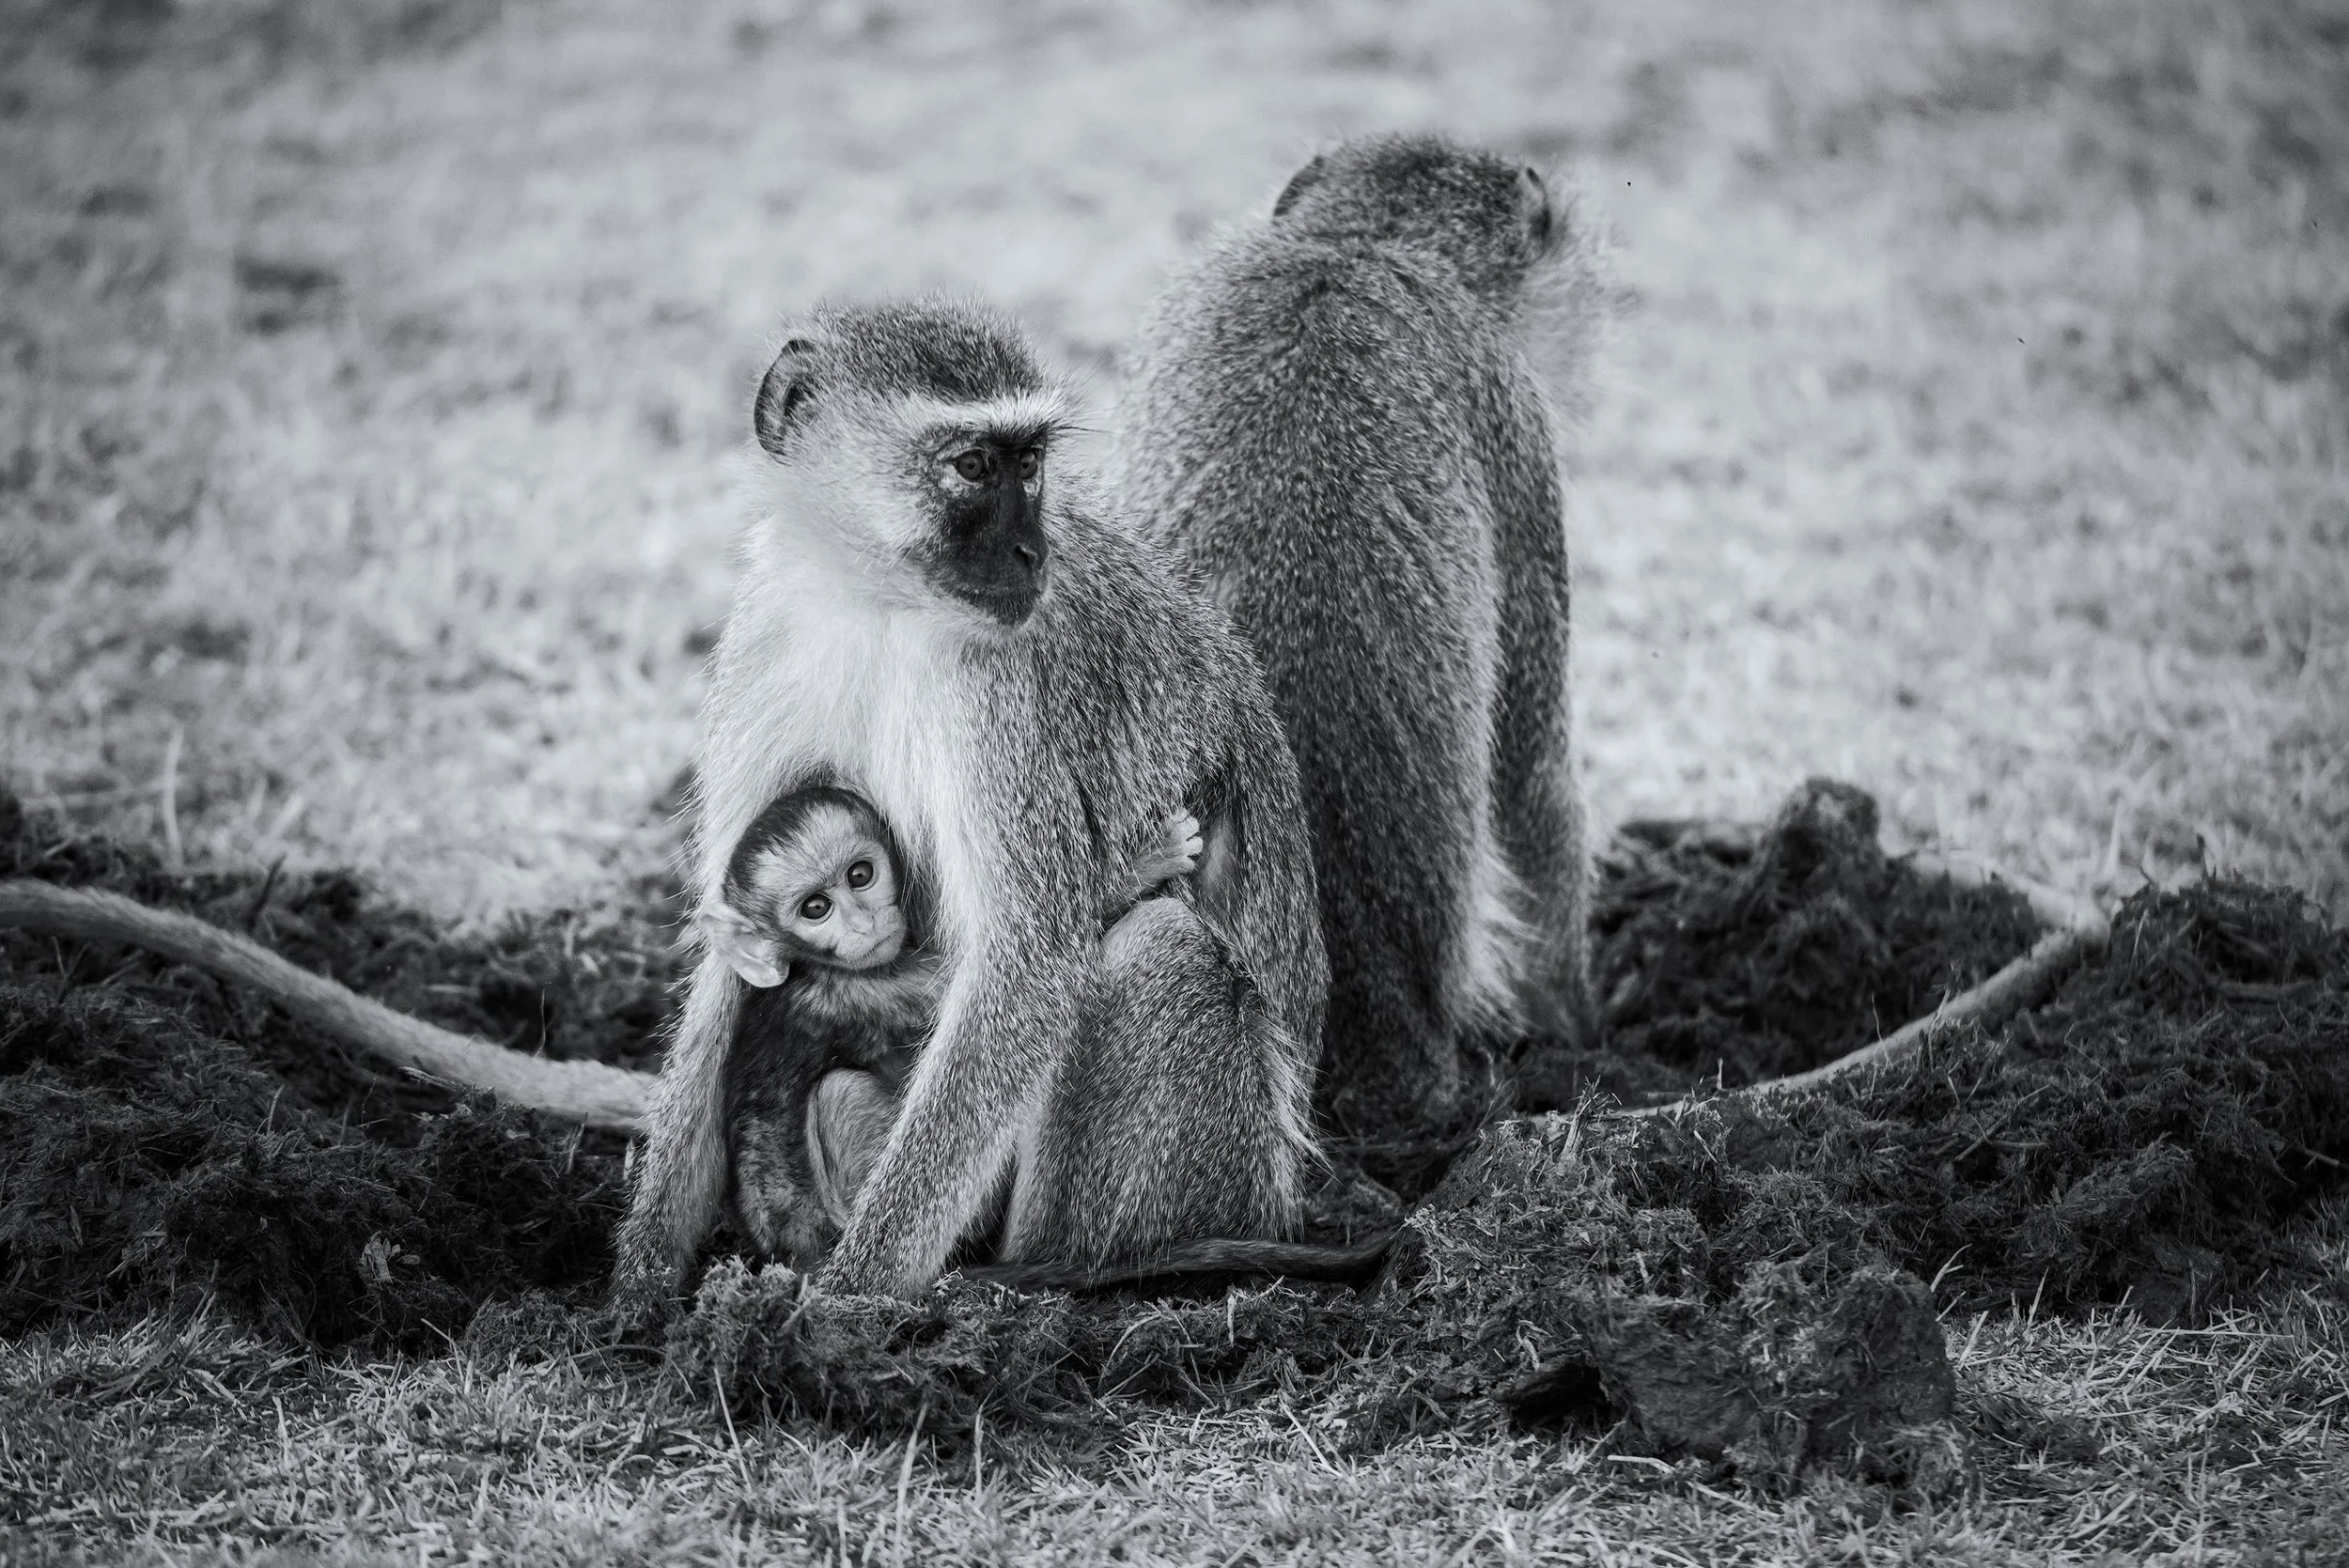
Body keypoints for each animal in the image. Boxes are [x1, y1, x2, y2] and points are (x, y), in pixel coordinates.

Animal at [700, 779, 1205, 1265]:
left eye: (860, 875)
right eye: (815, 909)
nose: (863, 924)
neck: (810, 967)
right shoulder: (872, 990)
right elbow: (1017, 978)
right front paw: (1149, 861)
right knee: (840, 1093)